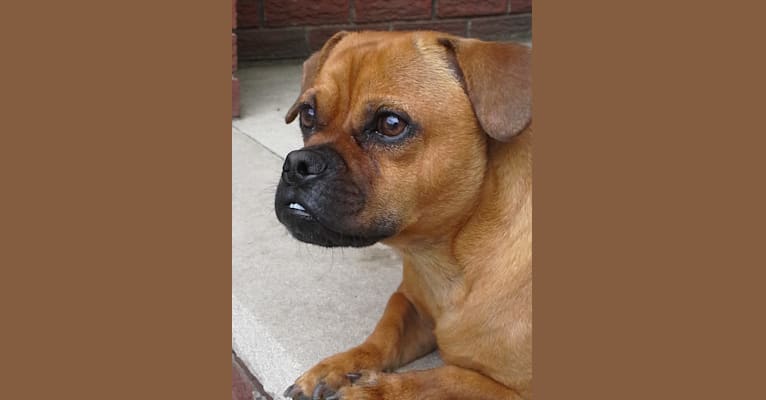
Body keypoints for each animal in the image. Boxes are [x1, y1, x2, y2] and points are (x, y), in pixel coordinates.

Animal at [276, 29, 536, 398]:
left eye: (391, 124)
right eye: (307, 115)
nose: (298, 164)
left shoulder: (514, 390)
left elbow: (443, 378)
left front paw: (373, 389)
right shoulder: (410, 303)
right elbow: (385, 333)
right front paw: (338, 366)